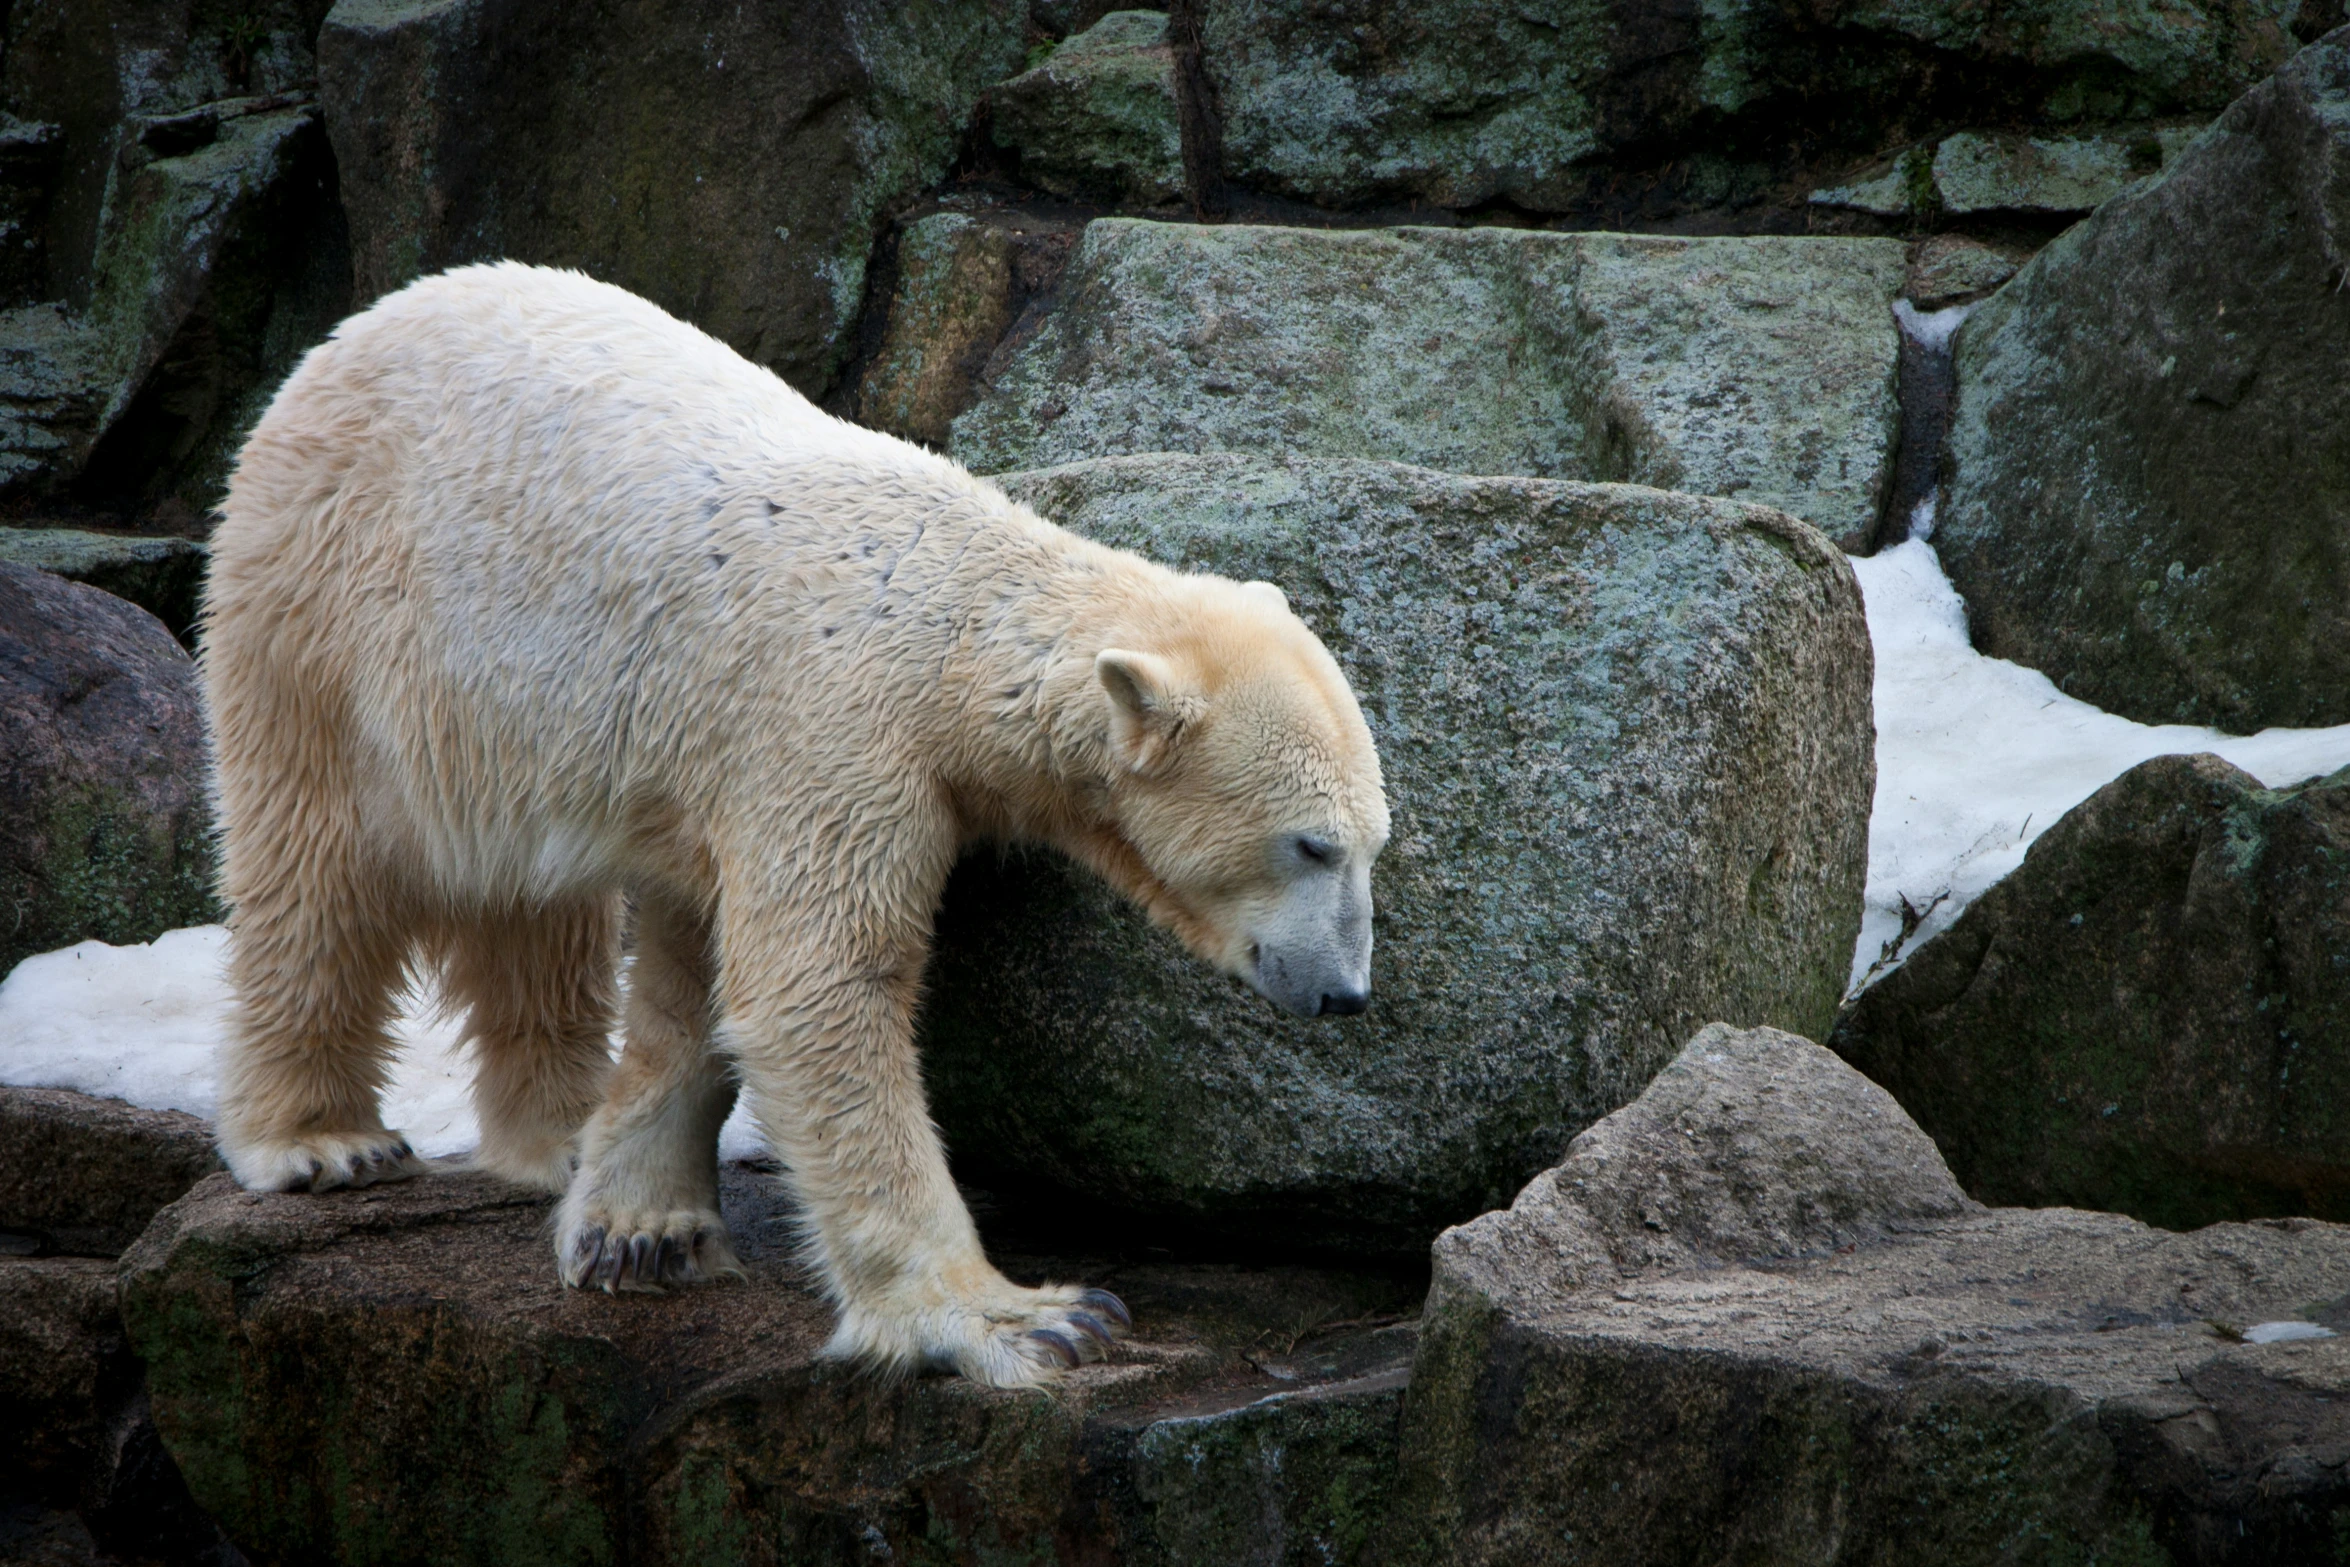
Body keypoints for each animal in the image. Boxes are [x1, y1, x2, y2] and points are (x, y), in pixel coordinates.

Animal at [202, 263, 1381, 1390]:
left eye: (1374, 843)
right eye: (1311, 844)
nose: (1345, 993)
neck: (945, 622)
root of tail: (348, 337)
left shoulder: (711, 760)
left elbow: (699, 969)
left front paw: (641, 1227)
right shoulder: (831, 729)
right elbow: (820, 986)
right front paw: (1023, 1318)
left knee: (538, 910)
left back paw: (552, 1129)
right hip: (328, 612)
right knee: (317, 869)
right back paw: (319, 1140)